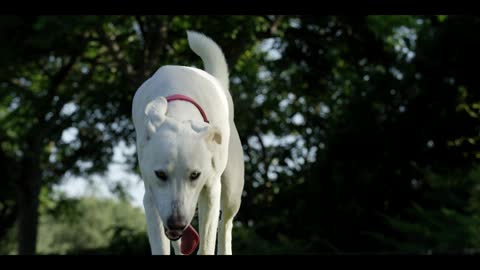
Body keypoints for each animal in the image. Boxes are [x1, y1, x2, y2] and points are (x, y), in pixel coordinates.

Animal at [131, 30, 244, 254]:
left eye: (195, 175)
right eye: (160, 174)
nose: (176, 223)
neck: (179, 115)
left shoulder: (211, 191)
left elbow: (207, 243)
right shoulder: (152, 198)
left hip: (232, 191)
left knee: (225, 224)